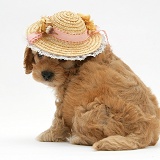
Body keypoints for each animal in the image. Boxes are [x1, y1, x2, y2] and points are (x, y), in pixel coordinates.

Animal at [23, 10, 159, 151]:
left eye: (62, 59)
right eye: (39, 55)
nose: (46, 74)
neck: (77, 65)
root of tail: (146, 130)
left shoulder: (65, 98)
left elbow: (59, 119)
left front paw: (48, 135)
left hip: (88, 111)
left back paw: (78, 139)